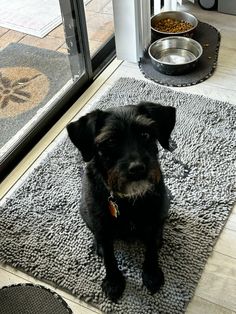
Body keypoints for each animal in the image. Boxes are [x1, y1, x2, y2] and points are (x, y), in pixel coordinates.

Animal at [66, 102, 175, 300]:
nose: (137, 168)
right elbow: (110, 257)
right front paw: (113, 281)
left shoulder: (154, 218)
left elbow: (151, 250)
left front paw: (152, 273)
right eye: (110, 141)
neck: (127, 199)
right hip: (85, 212)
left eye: (145, 134)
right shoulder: (102, 226)